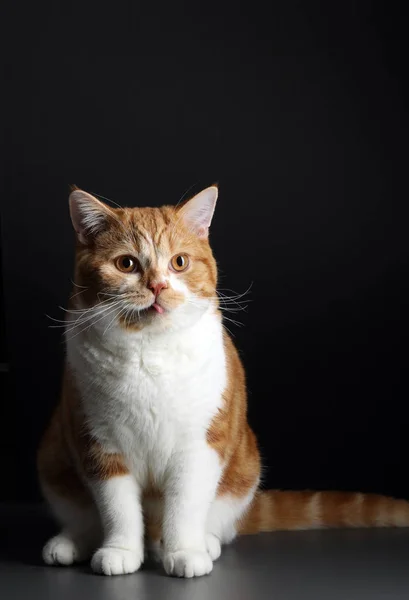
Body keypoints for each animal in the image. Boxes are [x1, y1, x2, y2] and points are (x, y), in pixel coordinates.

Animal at [37, 186, 408, 576]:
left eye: (179, 262)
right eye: (126, 264)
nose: (158, 285)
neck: (150, 353)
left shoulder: (200, 445)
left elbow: (184, 504)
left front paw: (184, 551)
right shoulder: (100, 445)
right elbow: (117, 509)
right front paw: (121, 550)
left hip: (244, 471)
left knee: (217, 523)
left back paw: (202, 542)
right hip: (53, 457)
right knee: (84, 515)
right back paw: (72, 542)